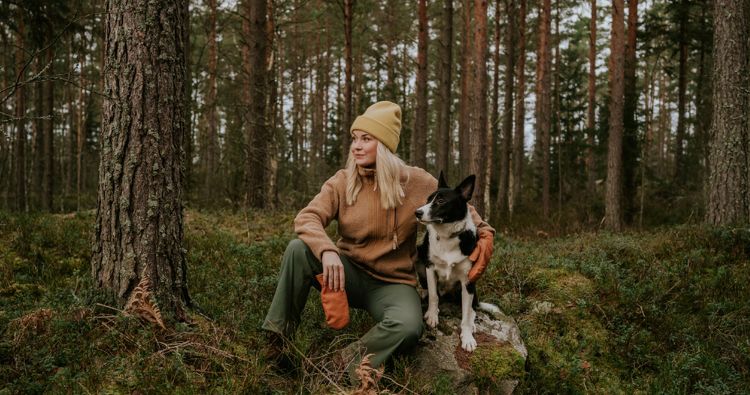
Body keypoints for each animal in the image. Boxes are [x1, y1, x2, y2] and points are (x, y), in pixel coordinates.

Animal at [418, 172, 500, 352]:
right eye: (428, 199)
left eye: (441, 201)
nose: (417, 212)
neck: (448, 237)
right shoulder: (429, 268)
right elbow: (433, 295)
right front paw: (432, 315)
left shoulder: (468, 279)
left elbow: (466, 314)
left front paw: (467, 337)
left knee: (473, 308)